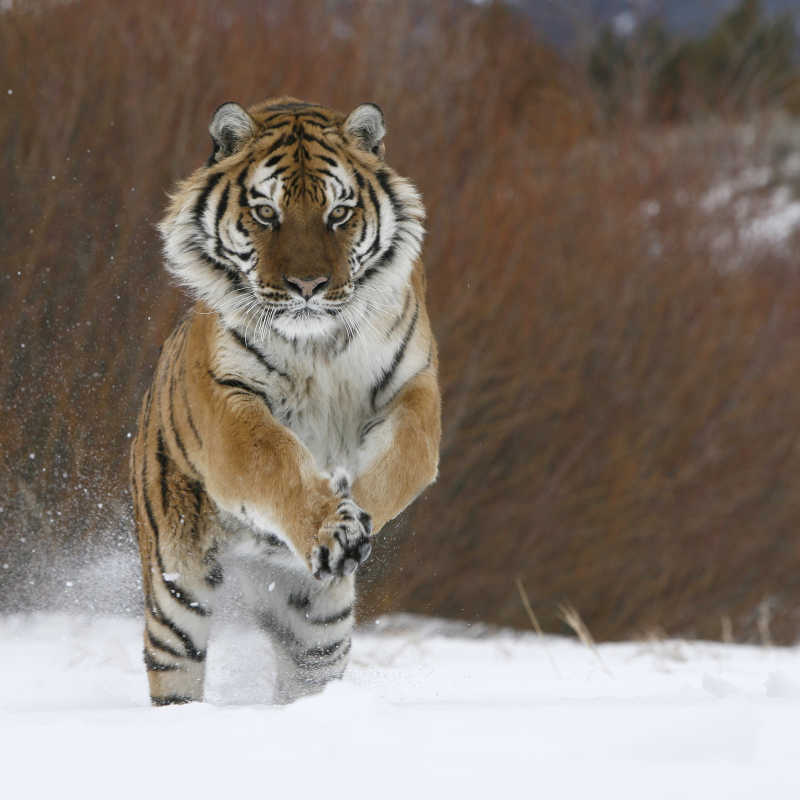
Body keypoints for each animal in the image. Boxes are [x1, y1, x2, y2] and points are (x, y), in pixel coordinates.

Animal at [132, 97, 444, 704]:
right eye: (265, 213)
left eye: (339, 214)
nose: (307, 286)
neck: (318, 345)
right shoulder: (230, 403)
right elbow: (276, 461)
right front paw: (329, 526)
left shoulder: (414, 387)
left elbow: (403, 460)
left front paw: (349, 515)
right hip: (177, 592)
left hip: (320, 634)